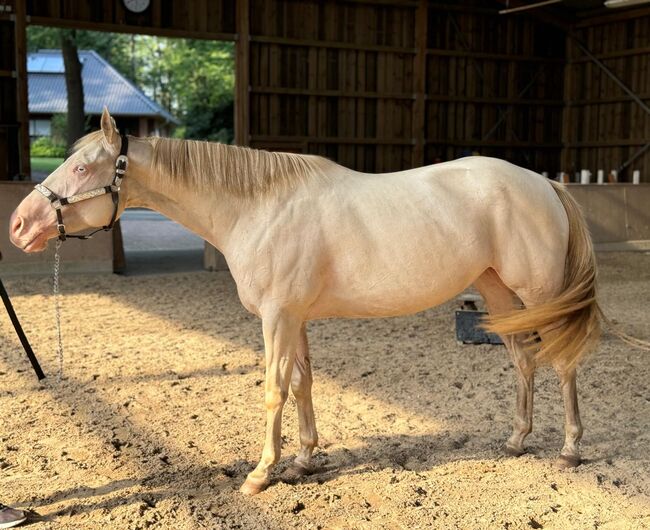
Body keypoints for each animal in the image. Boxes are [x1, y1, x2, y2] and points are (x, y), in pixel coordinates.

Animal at [8, 109, 596, 492]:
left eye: (81, 168)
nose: (18, 225)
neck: (258, 207)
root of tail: (544, 183)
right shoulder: (297, 318)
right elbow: (302, 383)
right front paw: (305, 459)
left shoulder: (278, 317)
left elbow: (273, 390)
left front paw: (260, 473)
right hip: (500, 292)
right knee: (523, 361)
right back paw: (517, 440)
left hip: (541, 293)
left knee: (563, 362)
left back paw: (570, 449)